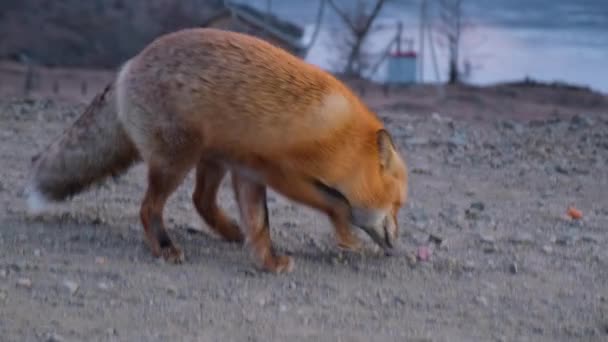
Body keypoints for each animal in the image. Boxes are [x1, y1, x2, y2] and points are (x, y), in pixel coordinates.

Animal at [27, 28, 408, 274]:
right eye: (397, 206)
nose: (397, 243)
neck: (345, 141)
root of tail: (129, 64)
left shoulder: (250, 171)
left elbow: (259, 225)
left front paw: (268, 262)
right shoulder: (282, 173)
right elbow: (335, 205)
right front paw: (344, 233)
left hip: (213, 160)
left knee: (201, 200)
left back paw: (229, 233)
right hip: (175, 161)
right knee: (149, 208)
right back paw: (164, 248)